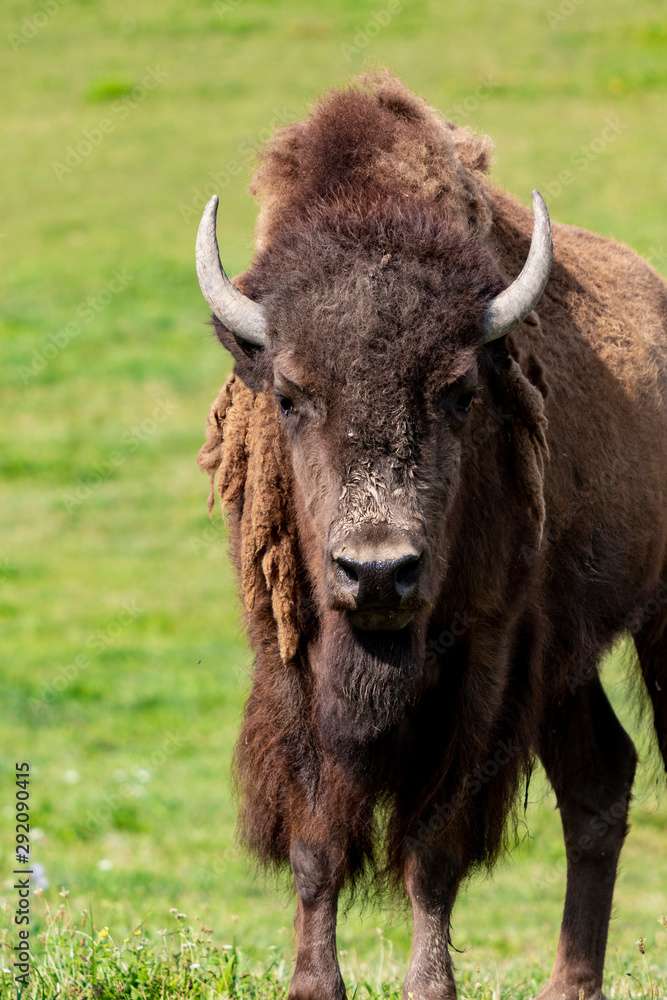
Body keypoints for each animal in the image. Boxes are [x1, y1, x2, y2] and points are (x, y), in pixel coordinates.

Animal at [193, 76, 667, 1000]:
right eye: (291, 395)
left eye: (458, 393)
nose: (378, 574)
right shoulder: (291, 651)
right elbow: (316, 843)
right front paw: (314, 984)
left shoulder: (482, 659)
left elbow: (432, 853)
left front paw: (429, 986)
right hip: (565, 660)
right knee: (598, 779)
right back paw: (569, 986)